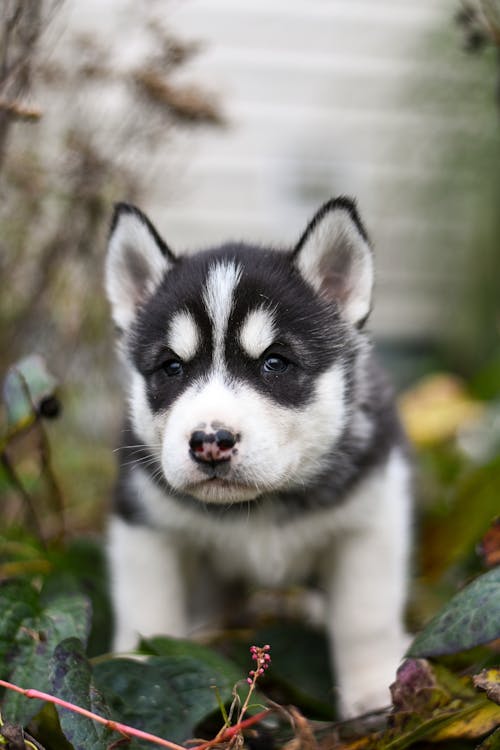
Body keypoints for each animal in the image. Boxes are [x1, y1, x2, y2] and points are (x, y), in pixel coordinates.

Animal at [105, 198, 410, 716]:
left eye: (275, 362)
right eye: (171, 367)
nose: (210, 440)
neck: (261, 506)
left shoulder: (374, 517)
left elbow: (364, 618)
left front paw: (373, 690)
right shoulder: (143, 523)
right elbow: (148, 610)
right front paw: (140, 668)